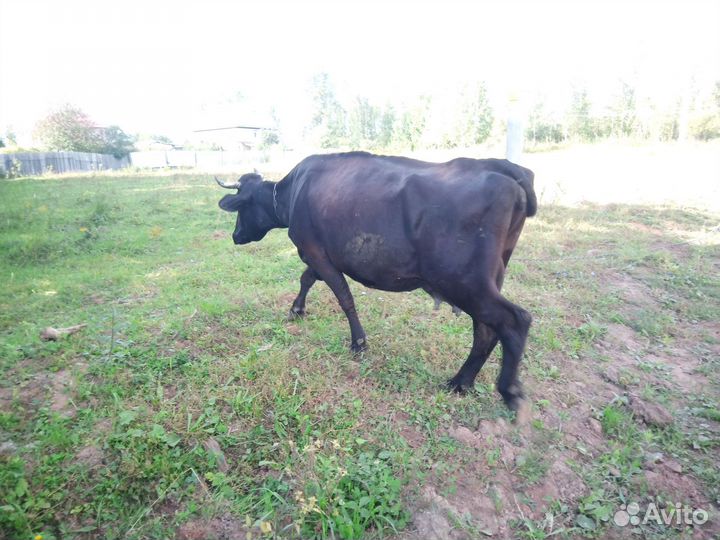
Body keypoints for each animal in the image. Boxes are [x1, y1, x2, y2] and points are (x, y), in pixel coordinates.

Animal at [216, 152, 536, 411]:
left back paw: (507, 391)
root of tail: (502, 166)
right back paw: (461, 383)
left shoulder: (316, 252)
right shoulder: (320, 255)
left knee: (513, 320)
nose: (235, 236)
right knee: (486, 329)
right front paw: (297, 309)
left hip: (464, 281)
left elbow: (344, 297)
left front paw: (358, 343)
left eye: (241, 207)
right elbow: (307, 278)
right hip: (488, 278)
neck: (292, 191)